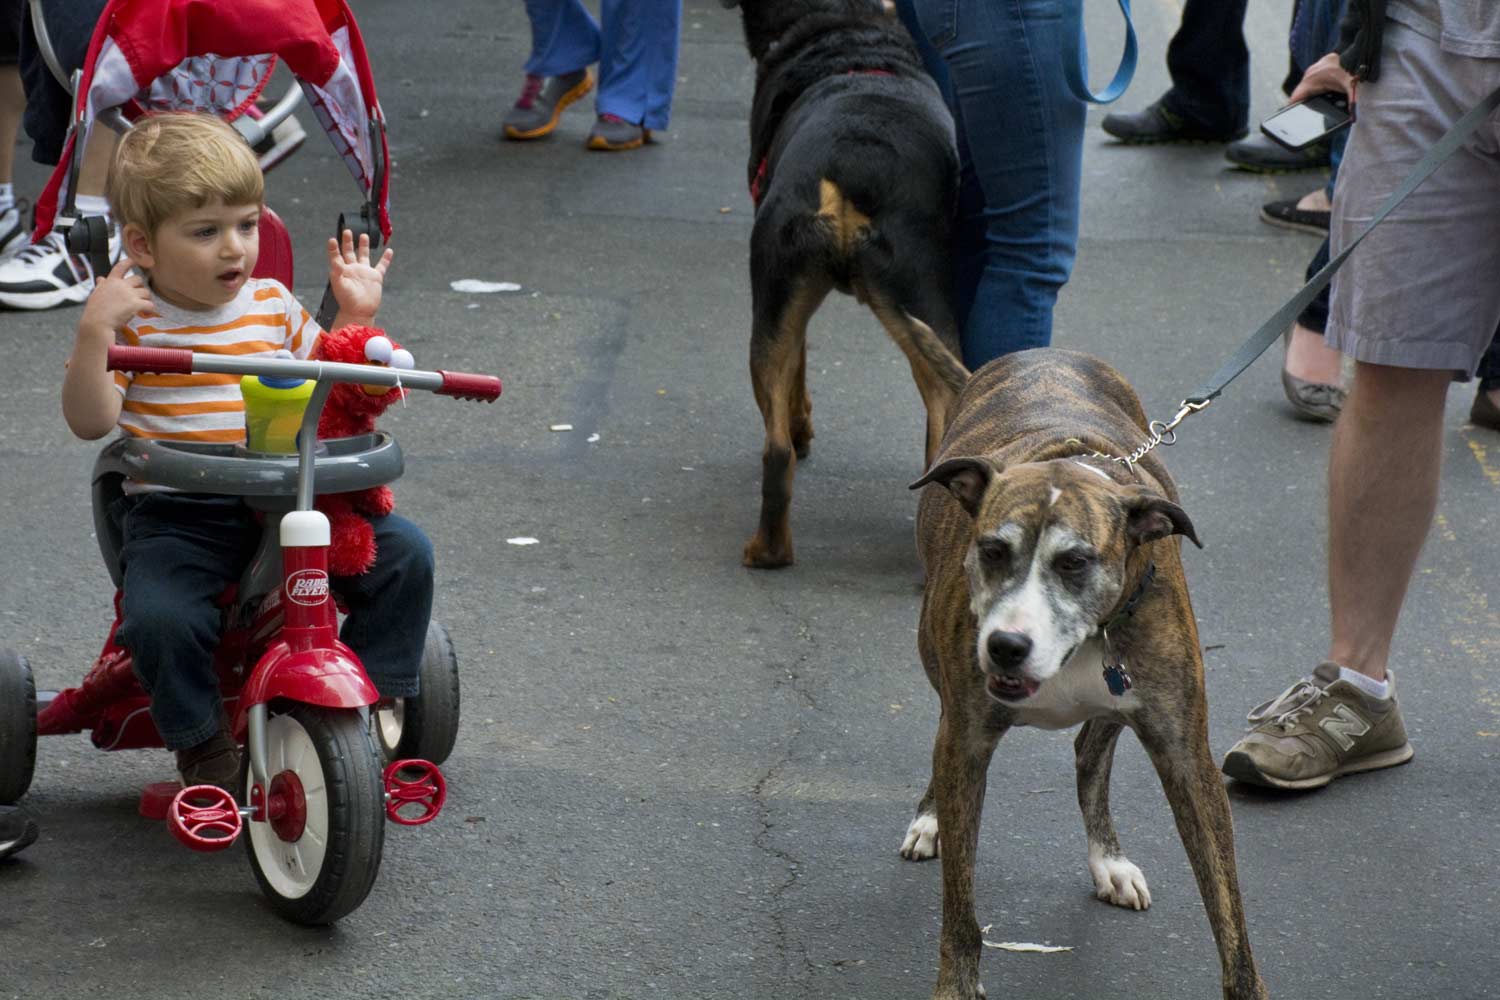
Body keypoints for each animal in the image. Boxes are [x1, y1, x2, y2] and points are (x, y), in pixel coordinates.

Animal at [720, 0, 966, 566]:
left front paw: (802, 424)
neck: (847, 27)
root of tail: (851, 160)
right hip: (921, 312)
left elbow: (800, 367)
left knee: (777, 448)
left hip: (784, 301)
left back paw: (768, 550)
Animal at [900, 350, 1266, 1000]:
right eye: (992, 551)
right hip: (937, 669)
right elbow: (960, 908)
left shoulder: (1186, 757)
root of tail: (1038, 354)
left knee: (1092, 752)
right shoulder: (966, 739)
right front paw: (957, 986)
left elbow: (1228, 910)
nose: (1006, 646)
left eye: (1074, 562)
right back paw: (930, 815)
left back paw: (1109, 860)